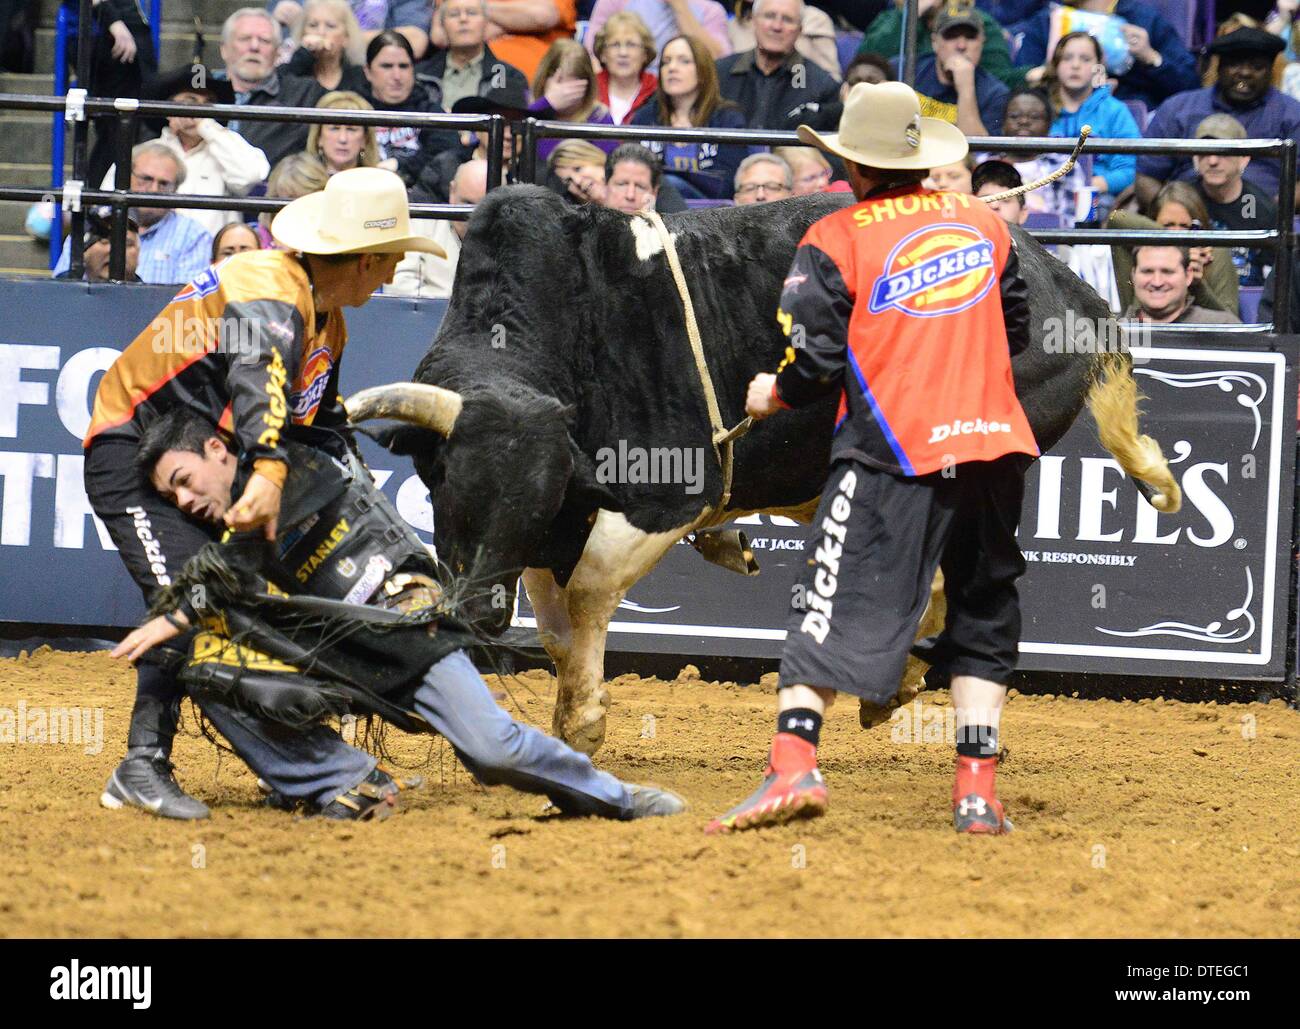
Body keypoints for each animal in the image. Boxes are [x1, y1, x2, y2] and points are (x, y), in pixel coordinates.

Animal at [351, 187, 1185, 753]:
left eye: (527, 494)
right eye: (451, 486)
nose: (481, 614)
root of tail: (1065, 287)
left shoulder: (661, 493)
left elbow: (587, 595)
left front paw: (583, 723)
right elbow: (559, 625)